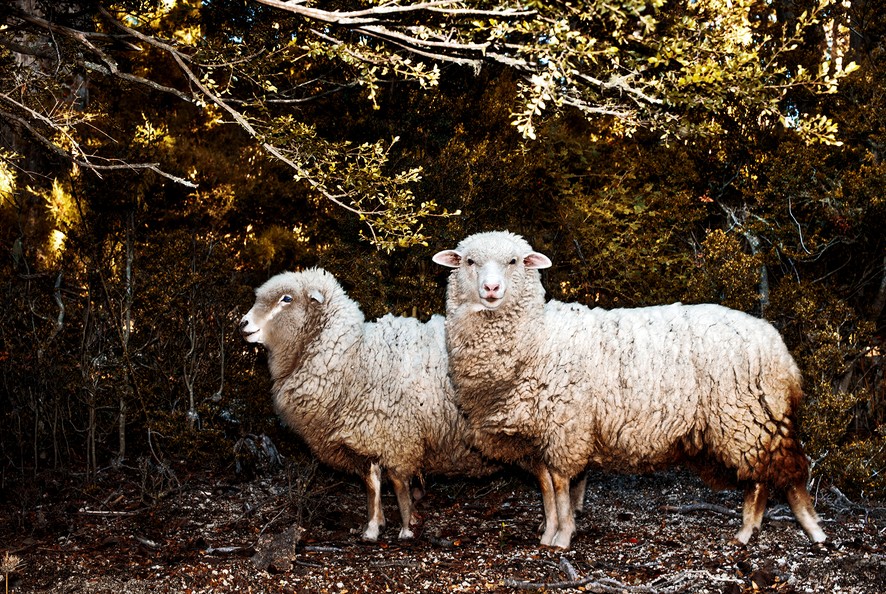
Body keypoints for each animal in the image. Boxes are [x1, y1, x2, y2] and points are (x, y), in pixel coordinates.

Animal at [239, 268, 496, 540]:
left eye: (286, 299)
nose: (243, 324)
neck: (355, 356)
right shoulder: (366, 436)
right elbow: (372, 483)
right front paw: (373, 527)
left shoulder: (397, 437)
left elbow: (398, 484)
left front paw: (406, 527)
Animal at [434, 229, 828, 548]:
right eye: (469, 261)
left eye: (513, 261)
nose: (491, 289)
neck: (535, 338)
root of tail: (777, 345)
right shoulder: (539, 436)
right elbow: (547, 488)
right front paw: (548, 534)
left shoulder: (565, 429)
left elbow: (561, 488)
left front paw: (563, 537)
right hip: (748, 421)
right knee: (759, 478)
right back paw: (748, 532)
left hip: (750, 415)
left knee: (787, 473)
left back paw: (811, 529)